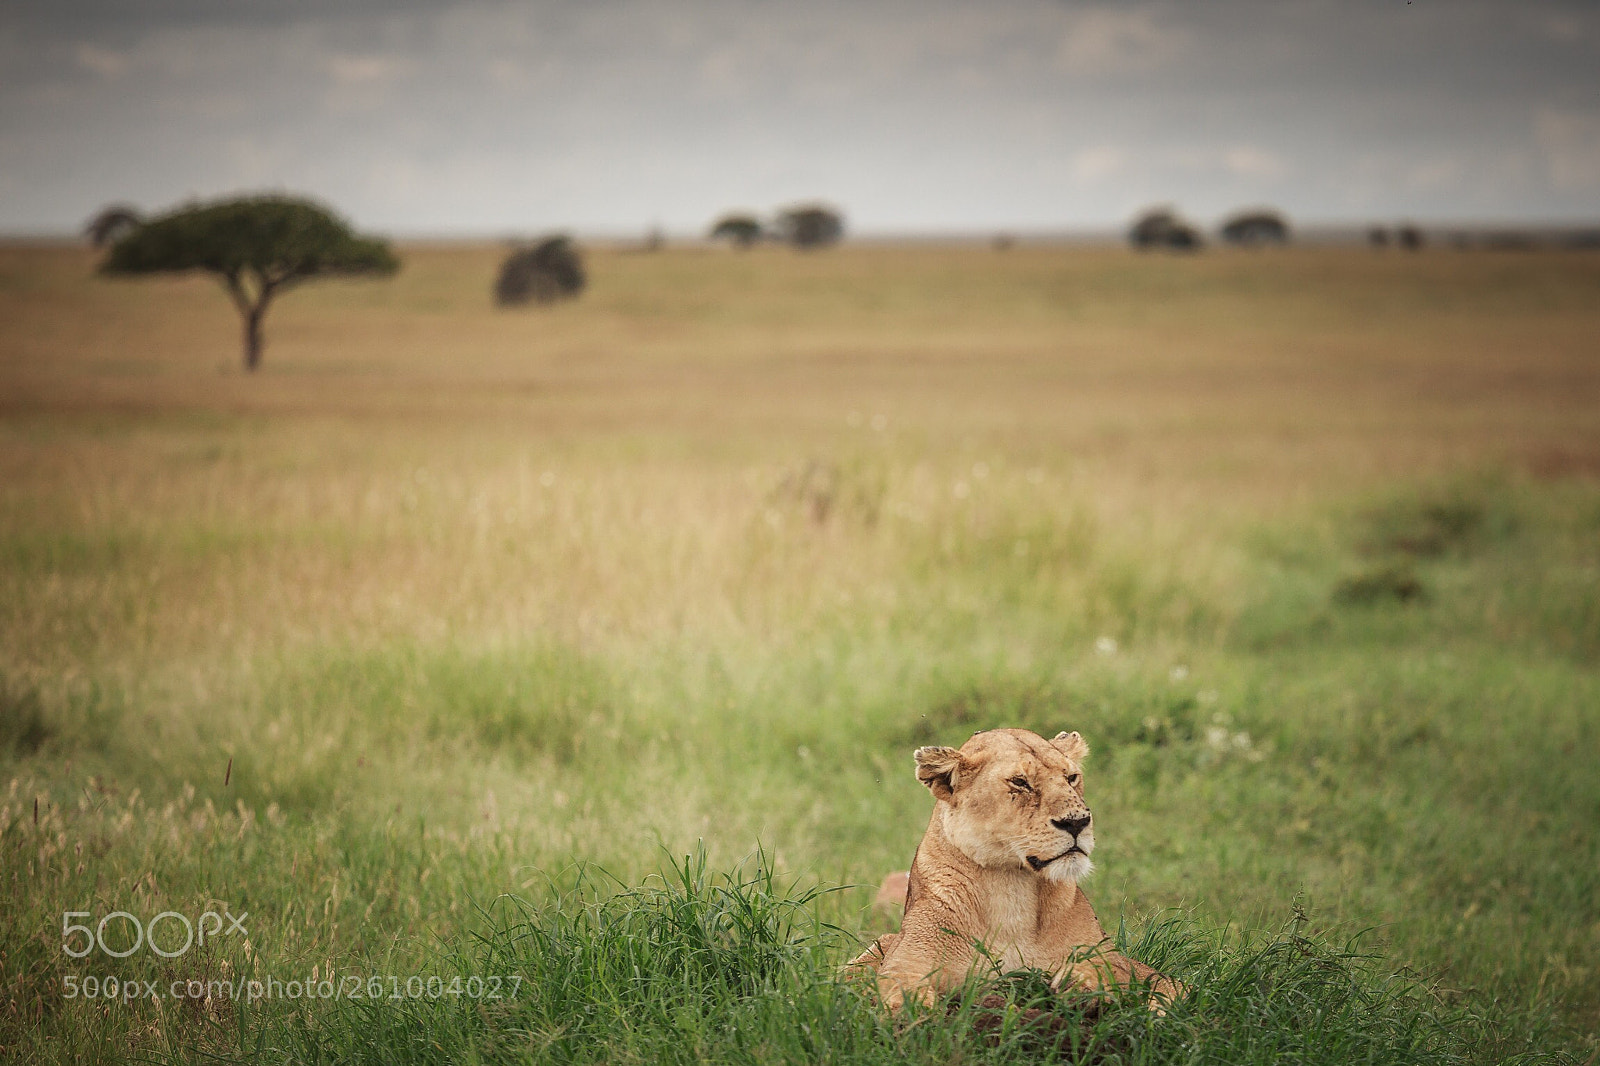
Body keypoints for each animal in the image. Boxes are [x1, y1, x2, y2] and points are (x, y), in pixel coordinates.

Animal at [848, 728, 1182, 1011]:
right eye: (1020, 782)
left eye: (1072, 777)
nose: (1076, 822)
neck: (1011, 885)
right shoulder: (907, 959)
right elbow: (897, 986)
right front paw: (913, 1010)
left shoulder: (1126, 963)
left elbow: (1122, 970)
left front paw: (1081, 986)